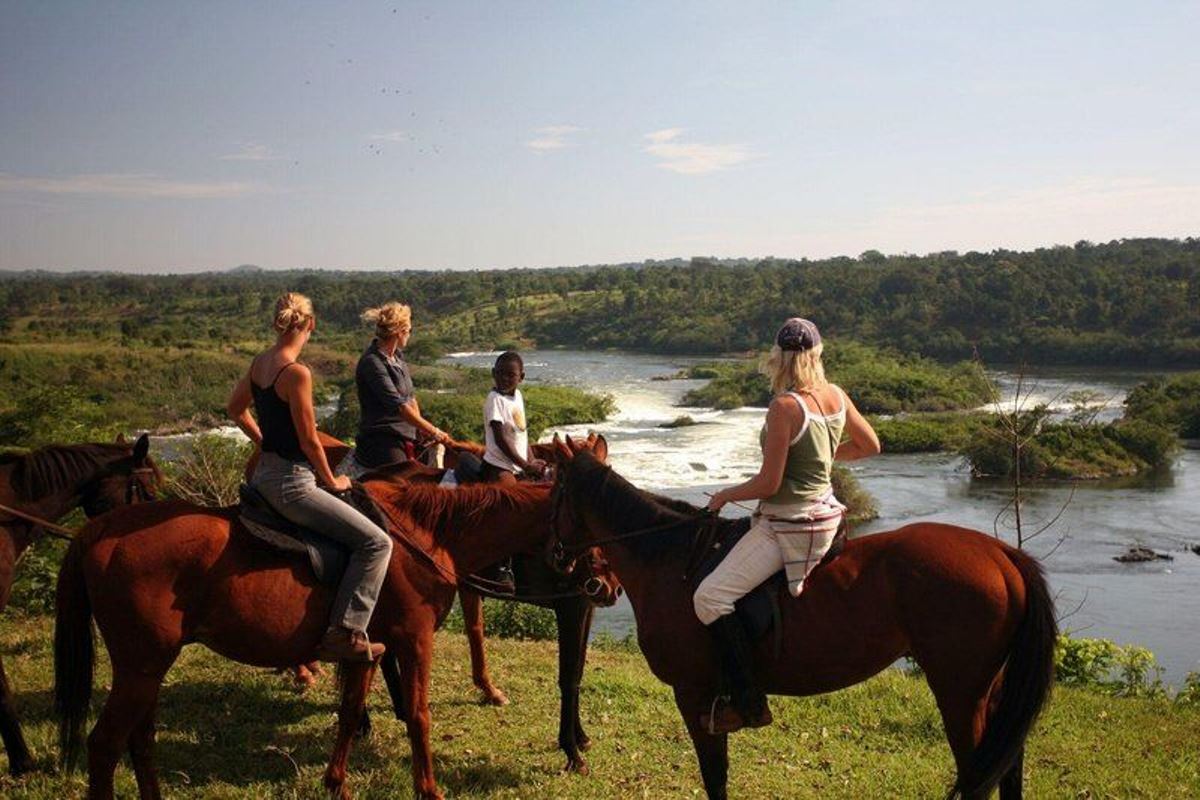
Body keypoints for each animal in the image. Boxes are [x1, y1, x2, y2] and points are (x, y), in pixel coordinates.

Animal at [58, 479, 573, 796]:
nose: (593, 583)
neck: (424, 536)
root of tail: (100, 530)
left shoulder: (368, 648)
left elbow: (349, 713)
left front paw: (336, 783)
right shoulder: (414, 640)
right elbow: (419, 715)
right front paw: (428, 789)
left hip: (146, 669)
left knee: (139, 740)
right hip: (140, 667)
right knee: (104, 746)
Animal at [549, 453, 1056, 796]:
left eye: (553, 491)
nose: (557, 557)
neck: (673, 560)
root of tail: (1001, 555)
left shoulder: (694, 694)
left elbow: (714, 776)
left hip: (961, 694)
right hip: (991, 690)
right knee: (1008, 766)